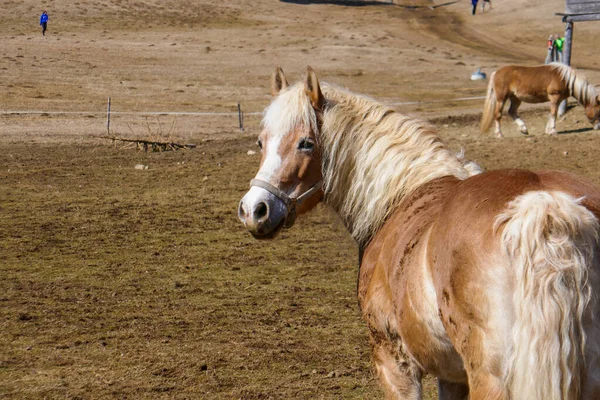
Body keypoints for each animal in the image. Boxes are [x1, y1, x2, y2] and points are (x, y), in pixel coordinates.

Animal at [237, 67, 600, 398]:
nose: (255, 209)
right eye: (260, 141)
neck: (399, 194)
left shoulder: (394, 363)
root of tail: (544, 204)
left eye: (306, 143)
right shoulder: (452, 376)